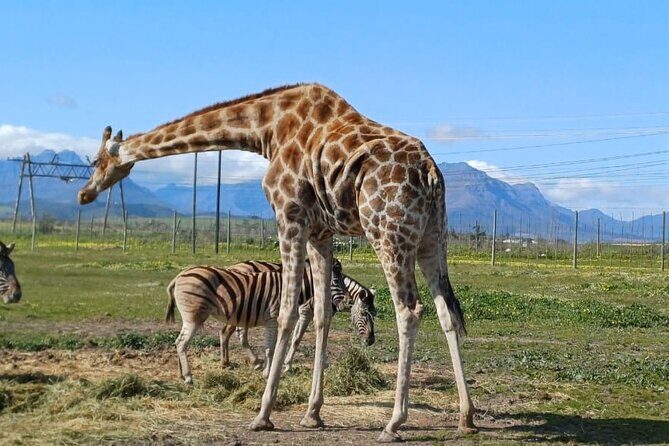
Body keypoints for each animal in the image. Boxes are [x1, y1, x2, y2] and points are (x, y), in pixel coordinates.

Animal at [78, 83, 477, 442]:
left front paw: (263, 414)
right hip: (432, 238)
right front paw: (312, 413)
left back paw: (394, 423)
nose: (84, 194)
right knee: (446, 311)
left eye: (96, 161)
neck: (266, 129)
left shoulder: (289, 216)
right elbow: (321, 315)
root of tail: (431, 172)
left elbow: (285, 313)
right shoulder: (320, 231)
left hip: (387, 234)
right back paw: (466, 416)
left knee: (409, 310)